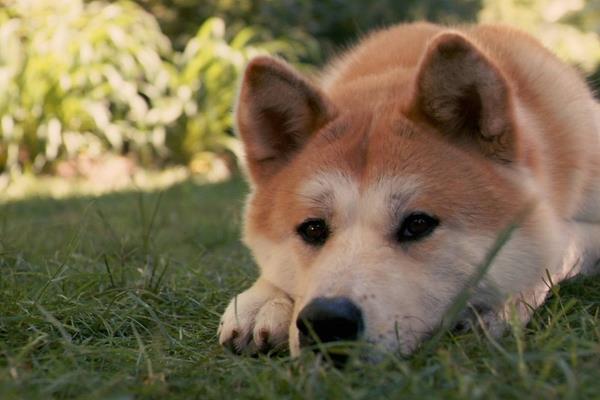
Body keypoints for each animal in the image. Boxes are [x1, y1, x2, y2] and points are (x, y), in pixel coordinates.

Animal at [218, 21, 600, 362]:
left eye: (417, 224)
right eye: (312, 229)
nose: (326, 322)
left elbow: (558, 250)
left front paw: (501, 304)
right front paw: (264, 300)